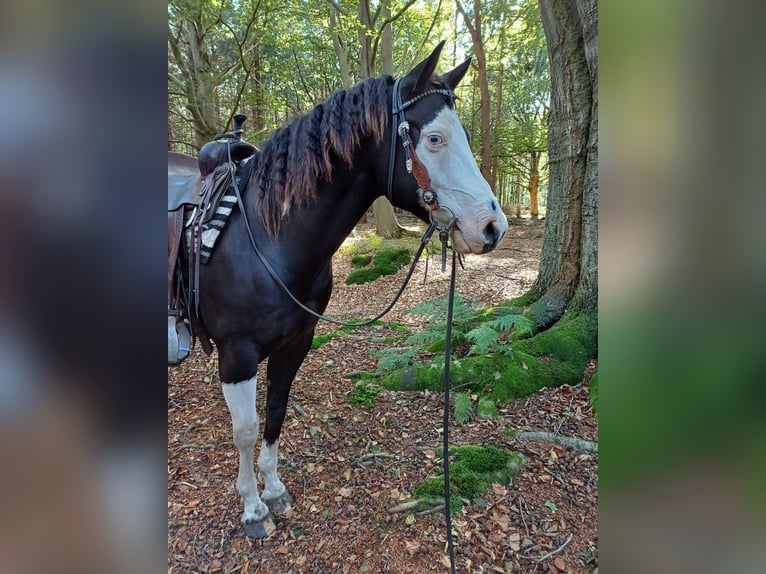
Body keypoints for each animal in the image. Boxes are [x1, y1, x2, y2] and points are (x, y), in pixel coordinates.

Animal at [180, 41, 509, 538]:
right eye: (434, 139)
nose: (493, 227)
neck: (267, 238)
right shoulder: (236, 355)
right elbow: (245, 429)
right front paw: (253, 509)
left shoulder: (297, 342)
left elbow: (276, 409)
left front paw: (274, 491)